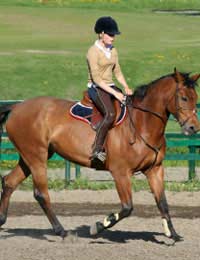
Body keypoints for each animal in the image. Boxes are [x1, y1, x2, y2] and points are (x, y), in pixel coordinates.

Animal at [0, 68, 199, 242]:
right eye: (183, 98)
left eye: (195, 98)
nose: (193, 128)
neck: (142, 124)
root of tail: (18, 106)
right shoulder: (120, 173)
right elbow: (127, 208)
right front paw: (97, 227)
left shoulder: (155, 170)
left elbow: (163, 203)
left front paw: (173, 234)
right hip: (36, 157)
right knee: (41, 193)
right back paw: (62, 232)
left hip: (30, 156)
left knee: (9, 181)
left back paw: (2, 220)